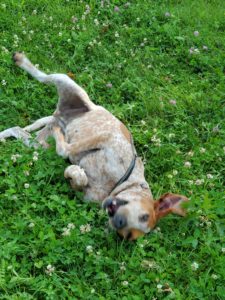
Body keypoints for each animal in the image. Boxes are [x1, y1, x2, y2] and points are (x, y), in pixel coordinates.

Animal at [0, 52, 189, 240]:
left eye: (126, 236)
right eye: (144, 216)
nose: (118, 222)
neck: (119, 184)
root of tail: (59, 115)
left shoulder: (85, 193)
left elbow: (76, 177)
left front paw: (75, 172)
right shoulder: (107, 138)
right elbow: (65, 150)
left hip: (38, 145)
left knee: (19, 131)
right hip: (68, 84)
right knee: (43, 77)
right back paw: (21, 60)